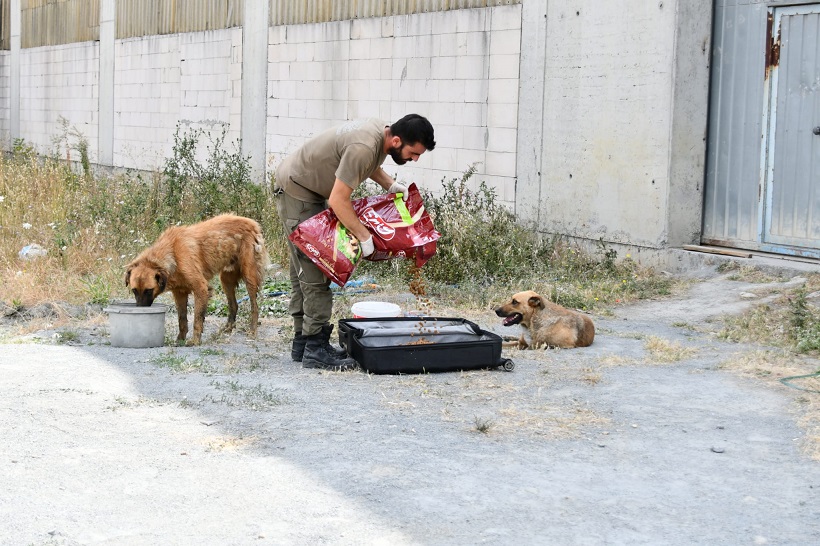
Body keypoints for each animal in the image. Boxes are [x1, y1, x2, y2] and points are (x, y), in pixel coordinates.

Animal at [125, 214, 268, 344]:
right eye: (134, 290)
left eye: (148, 291)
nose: (140, 311)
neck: (173, 254)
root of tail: (252, 222)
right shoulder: (179, 293)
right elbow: (182, 319)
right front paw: (180, 340)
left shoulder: (201, 289)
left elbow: (197, 319)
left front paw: (195, 341)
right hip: (226, 280)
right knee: (234, 305)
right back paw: (228, 328)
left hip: (249, 278)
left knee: (254, 307)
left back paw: (252, 331)